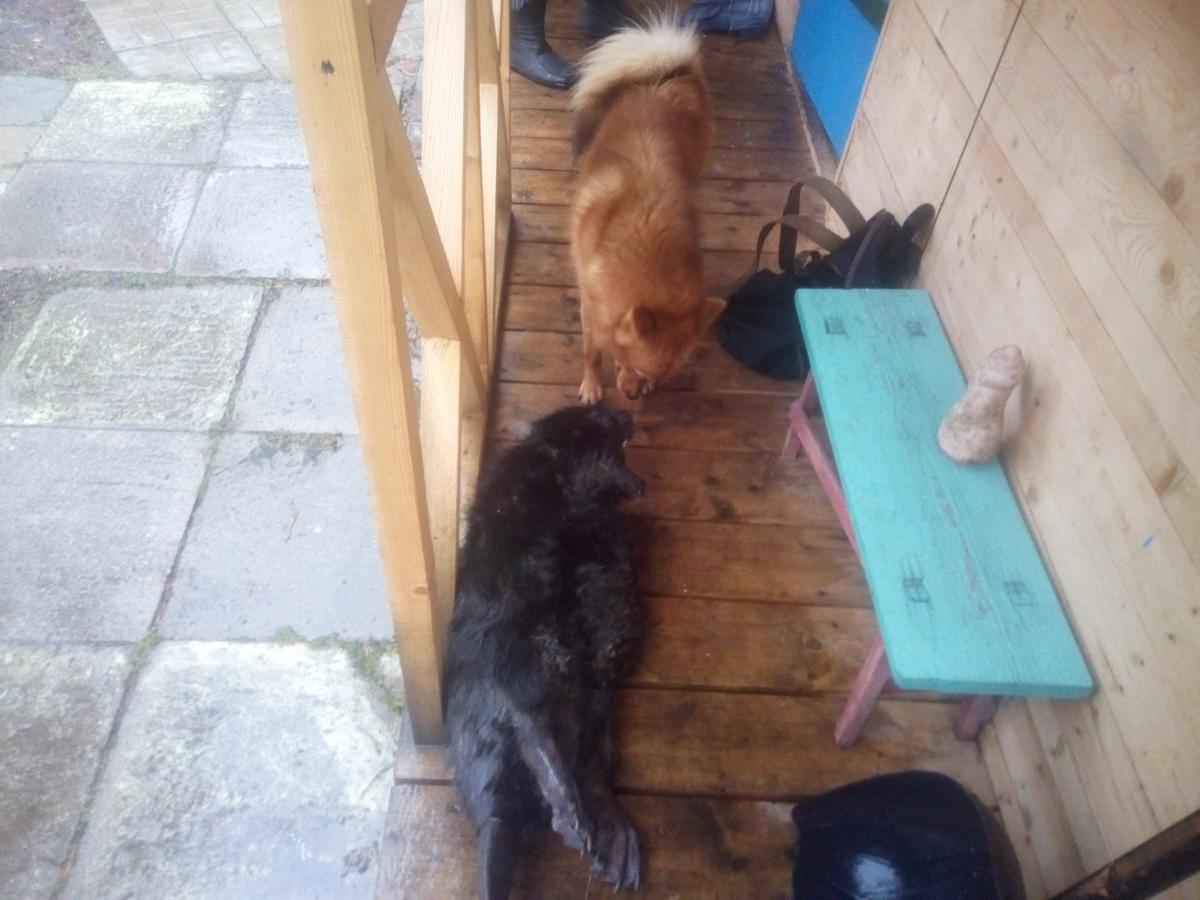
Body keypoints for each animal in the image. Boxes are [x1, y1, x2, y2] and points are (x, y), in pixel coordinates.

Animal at [444, 405, 646, 899]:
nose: (625, 413)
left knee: (591, 766)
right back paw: (574, 820)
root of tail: (497, 816)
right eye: (598, 413)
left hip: (588, 703)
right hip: (517, 652)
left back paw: (610, 843)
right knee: (529, 723)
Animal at [570, 18, 725, 403]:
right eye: (631, 365)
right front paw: (592, 384)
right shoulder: (589, 305)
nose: (632, 396)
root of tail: (666, 75)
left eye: (659, 375)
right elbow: (591, 351)